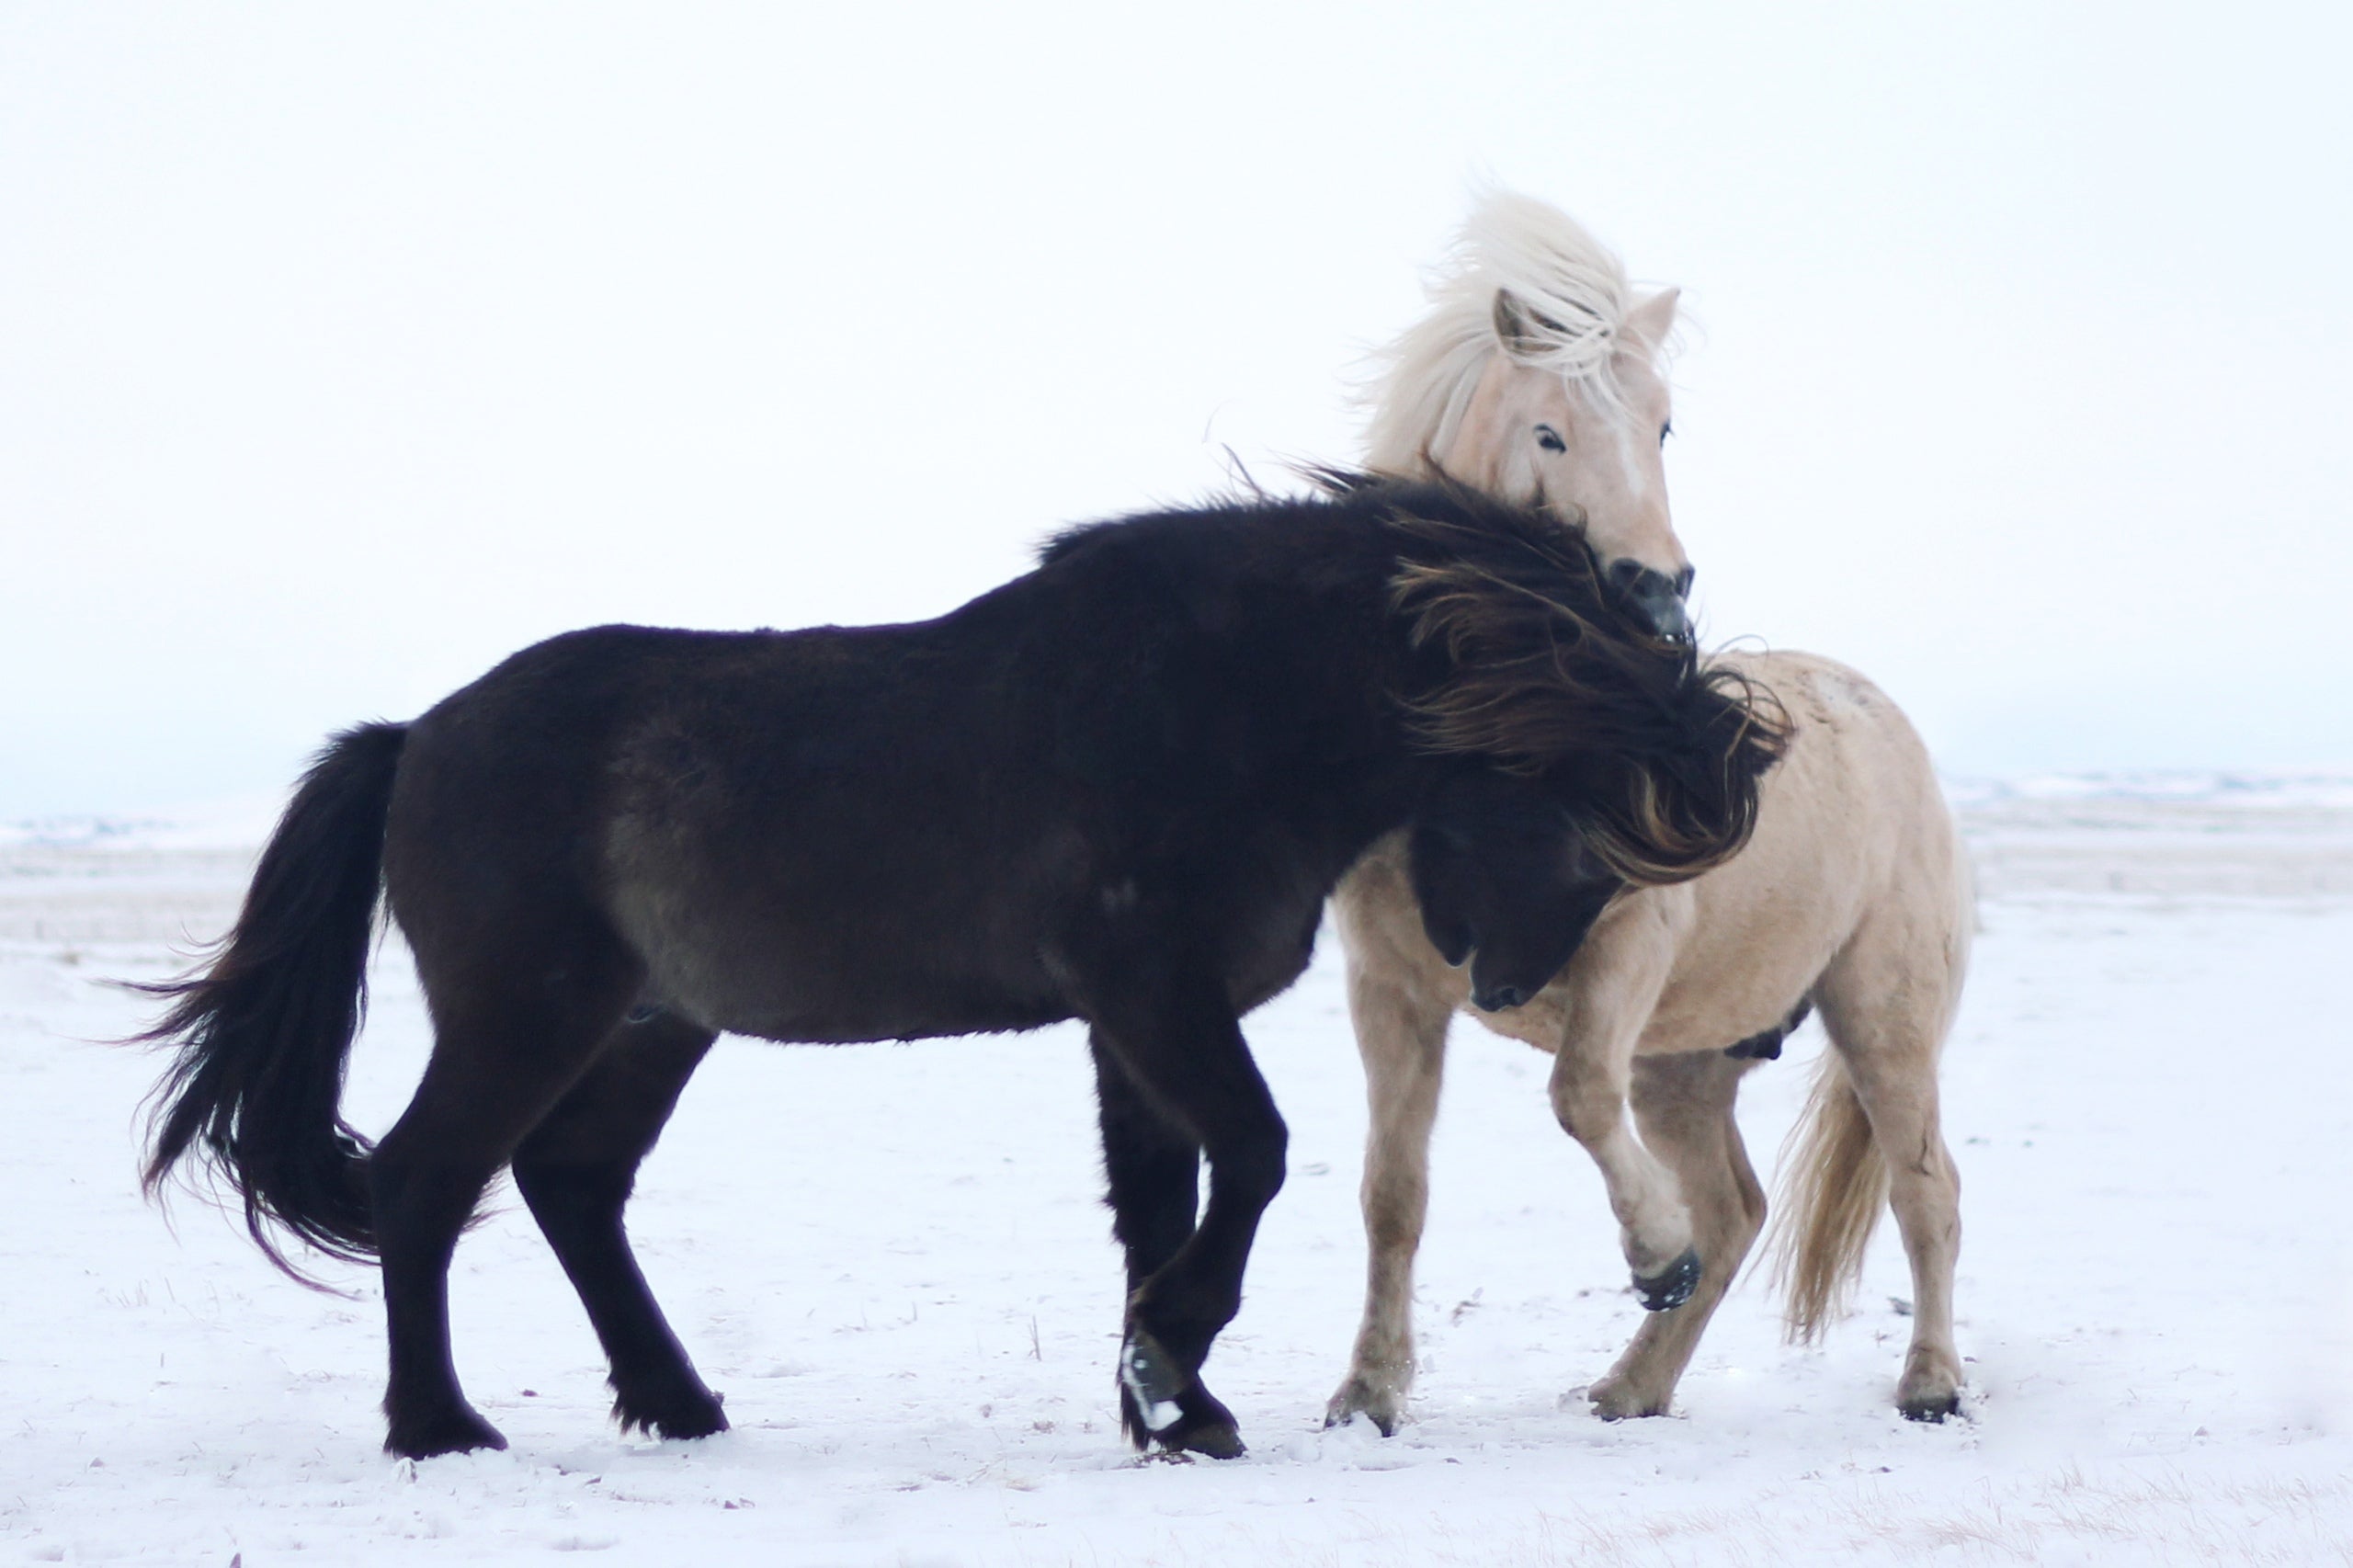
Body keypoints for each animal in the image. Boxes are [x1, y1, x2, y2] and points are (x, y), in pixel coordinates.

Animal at [134, 479, 1785, 1462]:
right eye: (1581, 829)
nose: (1501, 983)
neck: (1222, 708)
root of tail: (414, 738)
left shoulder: (1134, 1026)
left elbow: (1162, 1204)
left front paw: (1168, 1400)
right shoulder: (1152, 996)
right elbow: (1250, 1159)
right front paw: (1172, 1365)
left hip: (651, 1024)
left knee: (572, 1185)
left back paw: (677, 1402)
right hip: (523, 1012)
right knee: (428, 1181)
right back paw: (440, 1425)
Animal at [1324, 650, 1972, 1434]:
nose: (1498, 984)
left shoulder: (1622, 943)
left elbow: (1579, 1097)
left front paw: (1657, 1259)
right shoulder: (1391, 989)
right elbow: (1393, 1194)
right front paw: (1368, 1394)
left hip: (1881, 1023)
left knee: (1924, 1192)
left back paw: (1930, 1383)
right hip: (1682, 1067)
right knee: (1731, 1214)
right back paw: (1633, 1386)